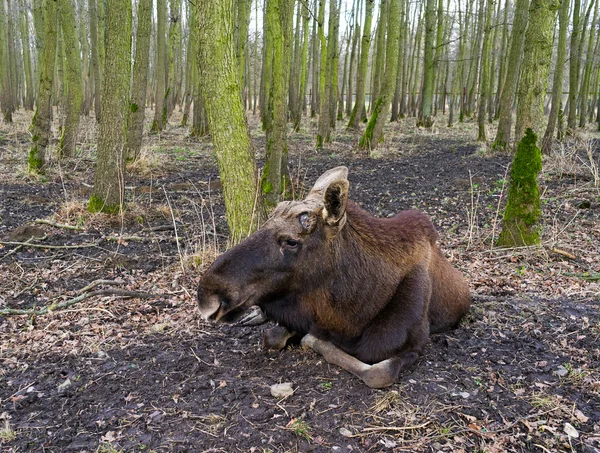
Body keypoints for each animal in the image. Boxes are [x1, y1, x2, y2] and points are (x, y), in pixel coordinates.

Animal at [199, 168, 472, 386]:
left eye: (292, 241)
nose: (207, 295)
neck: (353, 312)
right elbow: (273, 337)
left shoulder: (414, 344)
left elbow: (376, 373)